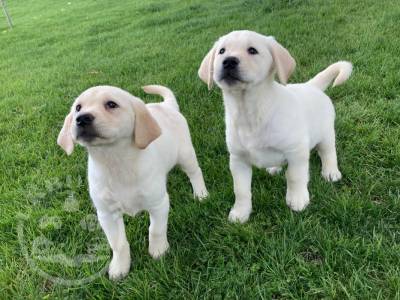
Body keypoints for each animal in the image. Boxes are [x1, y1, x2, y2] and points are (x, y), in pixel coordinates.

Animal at [57, 84, 208, 278]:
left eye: (111, 104)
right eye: (78, 107)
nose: (81, 118)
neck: (115, 160)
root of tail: (166, 106)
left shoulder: (158, 203)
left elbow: (156, 230)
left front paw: (159, 251)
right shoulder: (106, 214)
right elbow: (118, 243)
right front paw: (120, 267)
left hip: (186, 154)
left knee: (195, 172)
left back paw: (201, 194)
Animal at [198, 30, 352, 223]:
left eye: (252, 50)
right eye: (222, 51)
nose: (228, 61)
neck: (249, 110)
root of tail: (311, 85)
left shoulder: (297, 151)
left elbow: (294, 176)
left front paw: (298, 199)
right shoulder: (238, 159)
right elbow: (240, 190)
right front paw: (240, 212)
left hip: (326, 134)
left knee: (328, 153)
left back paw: (331, 172)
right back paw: (274, 168)